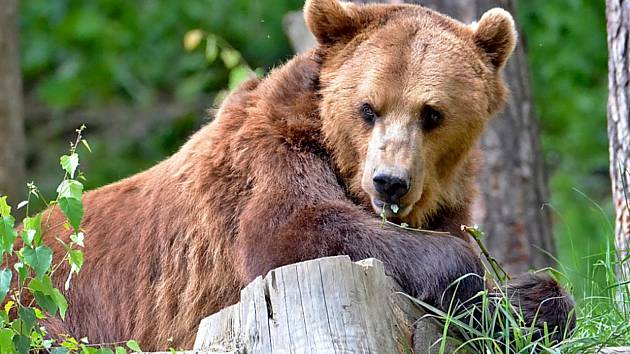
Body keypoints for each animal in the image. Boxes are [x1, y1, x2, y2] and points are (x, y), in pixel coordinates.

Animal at [33, 0, 576, 350]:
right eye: (368, 108)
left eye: (432, 113)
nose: (389, 182)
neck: (339, 156)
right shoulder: (267, 160)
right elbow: (294, 229)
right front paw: (473, 287)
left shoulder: (446, 200)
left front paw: (531, 303)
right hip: (53, 303)